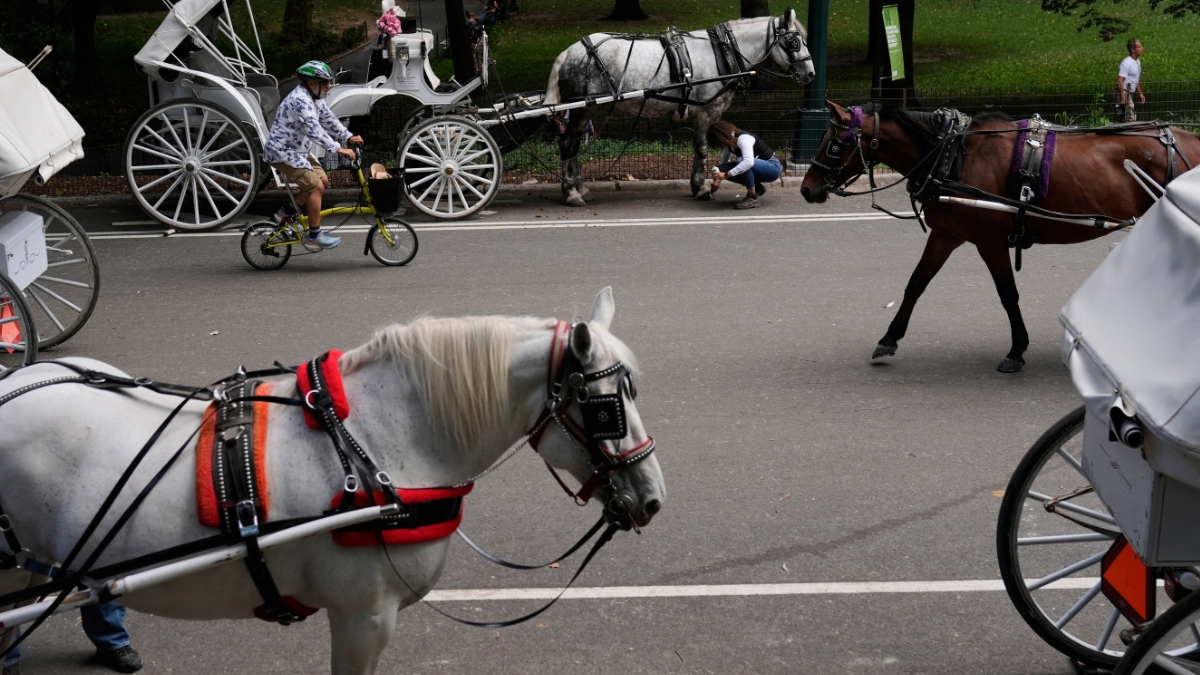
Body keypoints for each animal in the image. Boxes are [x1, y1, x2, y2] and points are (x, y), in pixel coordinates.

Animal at [543, 8, 814, 207]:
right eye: (793, 43)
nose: (810, 73)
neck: (721, 51)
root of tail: (568, 52)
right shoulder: (708, 111)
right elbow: (702, 149)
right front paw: (702, 188)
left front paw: (698, 186)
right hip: (582, 108)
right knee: (568, 143)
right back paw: (572, 193)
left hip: (585, 109)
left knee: (574, 144)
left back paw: (581, 189)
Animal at [801, 101, 1200, 373]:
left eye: (834, 144)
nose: (808, 188)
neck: (953, 154)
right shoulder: (945, 235)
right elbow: (916, 284)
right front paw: (889, 339)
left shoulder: (989, 242)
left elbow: (1008, 294)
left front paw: (1016, 350)